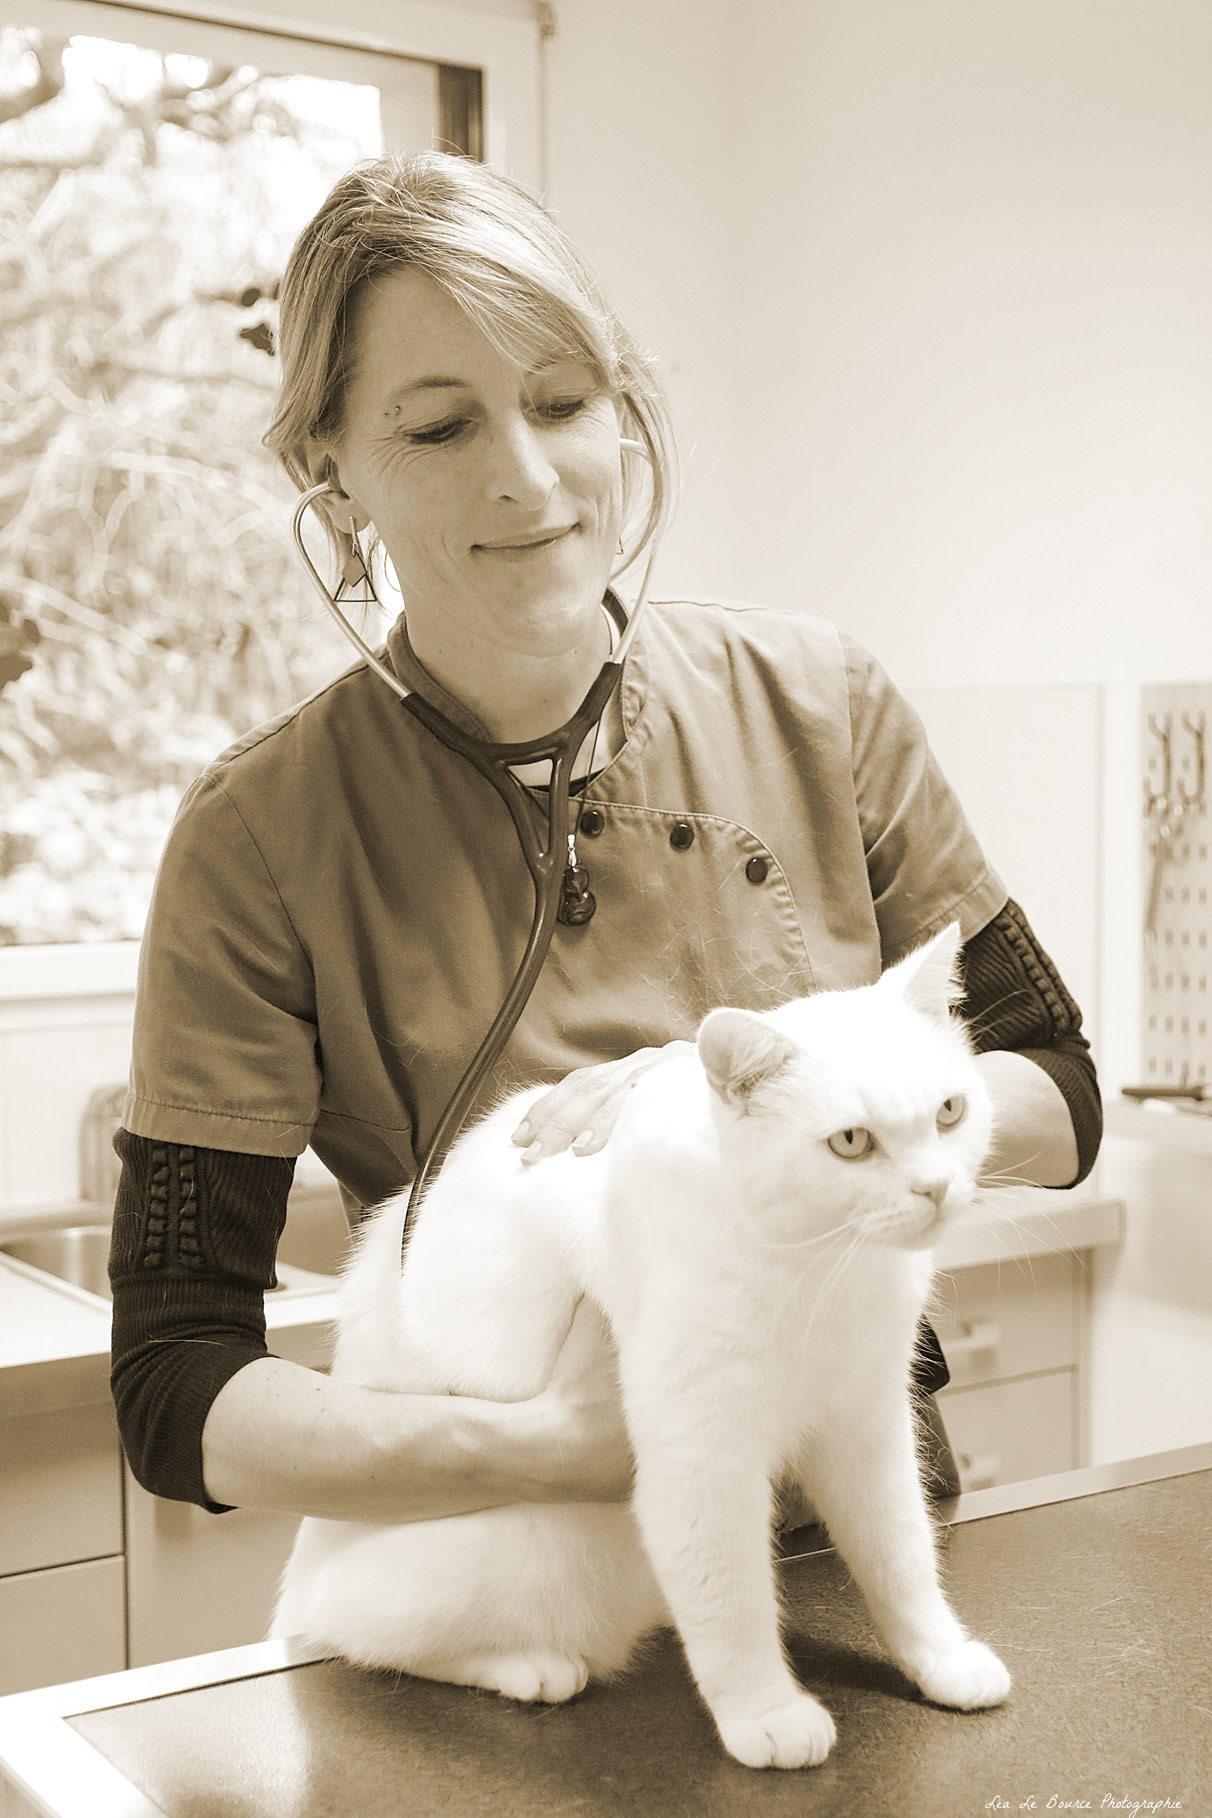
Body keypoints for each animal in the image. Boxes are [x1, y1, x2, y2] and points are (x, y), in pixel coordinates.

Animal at [274, 923, 1017, 1759]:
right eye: (852, 1142)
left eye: (949, 1111)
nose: (936, 1188)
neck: (825, 1269)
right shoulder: (701, 1452)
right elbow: (730, 1596)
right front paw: (763, 1711)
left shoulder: (867, 1427)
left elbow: (901, 1556)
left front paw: (940, 1659)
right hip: (511, 1552)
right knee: (370, 1640)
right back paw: (527, 1667)